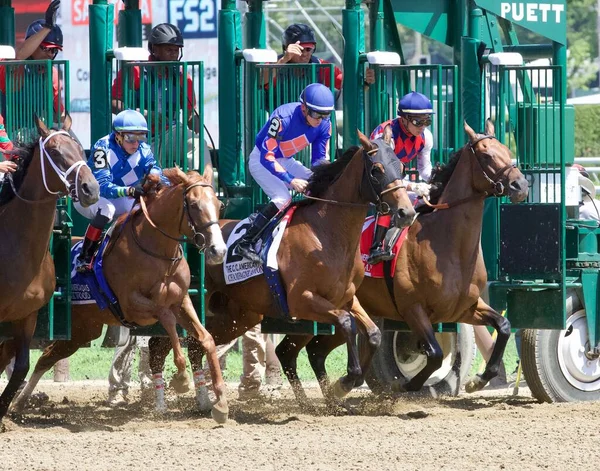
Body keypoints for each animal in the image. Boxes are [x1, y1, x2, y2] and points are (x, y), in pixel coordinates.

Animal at [14, 167, 230, 424]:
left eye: (219, 204)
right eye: (195, 205)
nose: (219, 251)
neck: (158, 252)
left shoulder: (182, 300)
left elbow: (206, 339)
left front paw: (220, 401)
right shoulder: (132, 305)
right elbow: (166, 318)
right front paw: (181, 378)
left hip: (82, 330)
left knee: (46, 357)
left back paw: (19, 403)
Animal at [146, 132, 418, 406]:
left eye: (401, 167)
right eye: (376, 170)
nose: (407, 212)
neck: (326, 232)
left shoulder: (346, 297)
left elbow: (373, 334)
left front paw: (349, 382)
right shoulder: (302, 300)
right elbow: (346, 322)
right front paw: (344, 383)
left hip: (237, 316)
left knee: (196, 345)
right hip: (190, 302)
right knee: (160, 344)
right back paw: (163, 400)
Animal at [272, 121, 528, 402]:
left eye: (507, 150)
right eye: (486, 155)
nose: (521, 186)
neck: (448, 244)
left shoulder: (466, 308)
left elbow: (504, 326)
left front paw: (477, 380)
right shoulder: (412, 308)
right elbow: (435, 354)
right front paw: (403, 386)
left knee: (313, 350)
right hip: (311, 306)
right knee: (288, 350)